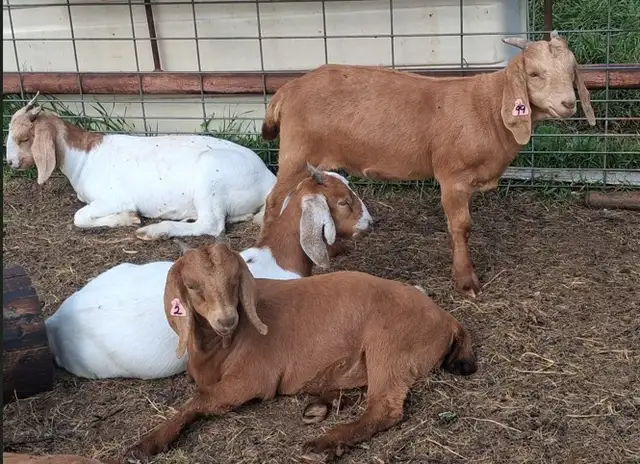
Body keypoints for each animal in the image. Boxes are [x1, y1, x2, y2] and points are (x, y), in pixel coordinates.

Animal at [5, 93, 276, 240]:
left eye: (23, 138)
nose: (10, 162)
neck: (83, 157)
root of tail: (268, 178)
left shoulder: (115, 198)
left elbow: (79, 217)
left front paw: (128, 218)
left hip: (210, 175)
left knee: (212, 225)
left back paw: (156, 230)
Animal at [122, 242, 477, 462]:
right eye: (193, 287)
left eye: (235, 281)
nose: (227, 319)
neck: (223, 346)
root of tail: (448, 319)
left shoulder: (253, 378)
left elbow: (200, 399)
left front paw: (146, 444)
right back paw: (320, 405)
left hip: (389, 342)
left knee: (386, 408)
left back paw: (323, 444)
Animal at [259, 31, 596, 298]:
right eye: (534, 74)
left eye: (572, 70)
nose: (568, 104)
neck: (487, 108)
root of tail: (286, 91)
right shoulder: (453, 177)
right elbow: (461, 226)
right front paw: (466, 280)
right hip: (296, 153)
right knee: (274, 200)